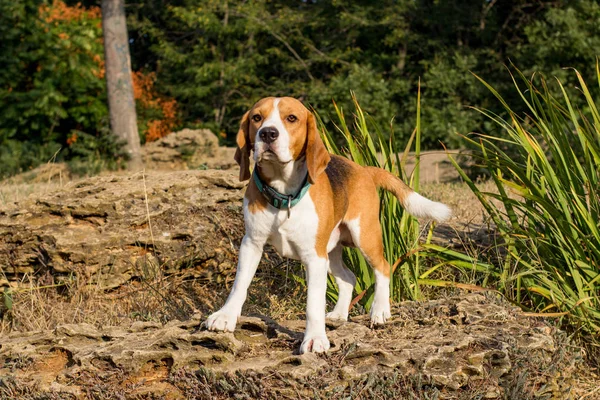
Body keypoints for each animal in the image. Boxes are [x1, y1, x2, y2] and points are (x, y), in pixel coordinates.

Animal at [206, 97, 450, 354]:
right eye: (256, 118)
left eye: (291, 118)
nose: (268, 133)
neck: (284, 194)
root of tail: (363, 169)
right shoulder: (251, 244)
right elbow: (239, 284)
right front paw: (225, 316)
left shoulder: (314, 258)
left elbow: (313, 303)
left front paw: (314, 338)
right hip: (330, 252)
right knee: (349, 278)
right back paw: (339, 314)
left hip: (364, 237)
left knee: (383, 267)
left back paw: (380, 311)